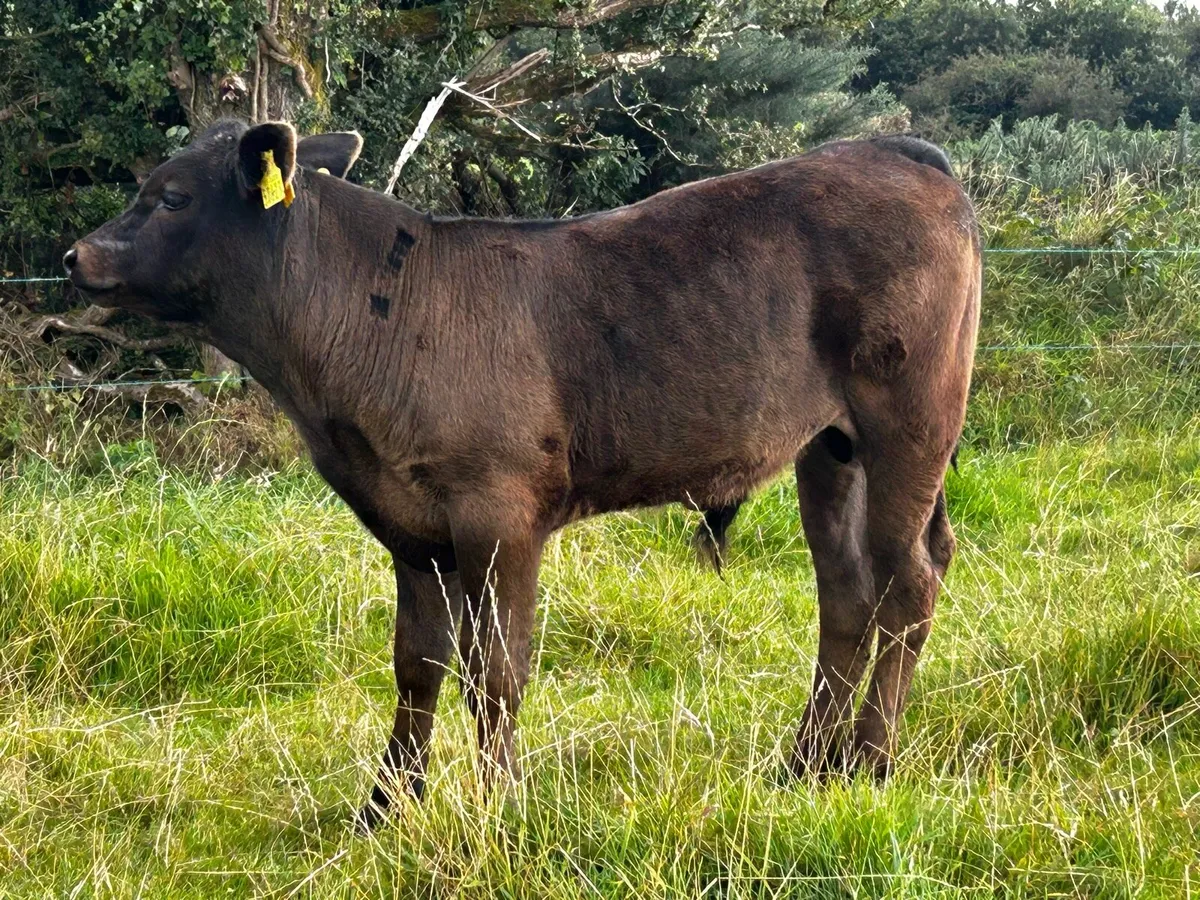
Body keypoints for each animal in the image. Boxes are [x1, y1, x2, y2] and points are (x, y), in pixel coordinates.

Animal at [64, 120, 981, 831]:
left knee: (908, 581)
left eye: (171, 197)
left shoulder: (499, 513)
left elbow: (497, 671)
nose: (76, 255)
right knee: (847, 591)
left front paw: (499, 810)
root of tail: (891, 150)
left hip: (910, 421)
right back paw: (806, 767)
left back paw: (869, 763)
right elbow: (418, 665)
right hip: (829, 445)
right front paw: (383, 810)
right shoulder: (411, 528)